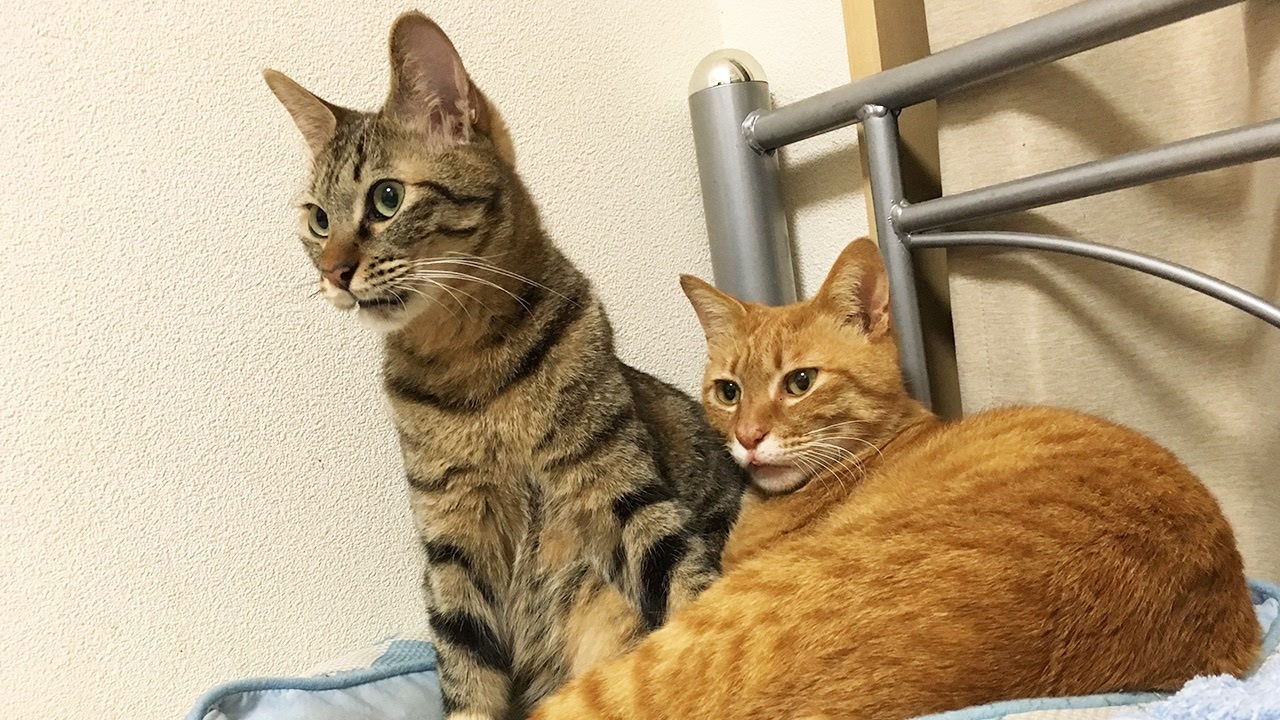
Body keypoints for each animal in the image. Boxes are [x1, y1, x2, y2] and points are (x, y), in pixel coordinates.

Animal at [262, 13, 745, 720]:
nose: (332, 273)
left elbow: (688, 583)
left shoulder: (613, 482)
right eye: (318, 220)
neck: (470, 368)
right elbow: (465, 669)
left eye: (386, 198)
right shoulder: (452, 538)